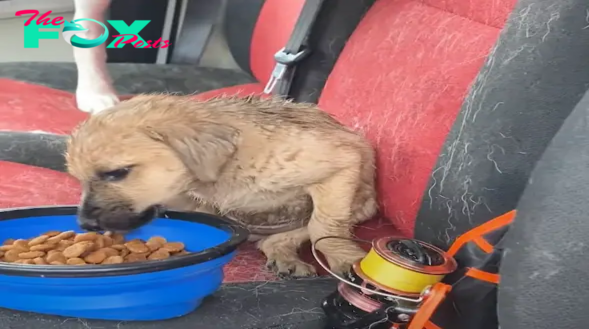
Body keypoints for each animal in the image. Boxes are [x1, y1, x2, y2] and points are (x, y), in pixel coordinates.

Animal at [64, 93, 376, 276]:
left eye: (117, 173)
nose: (85, 224)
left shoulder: (342, 164)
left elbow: (324, 226)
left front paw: (344, 257)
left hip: (364, 203)